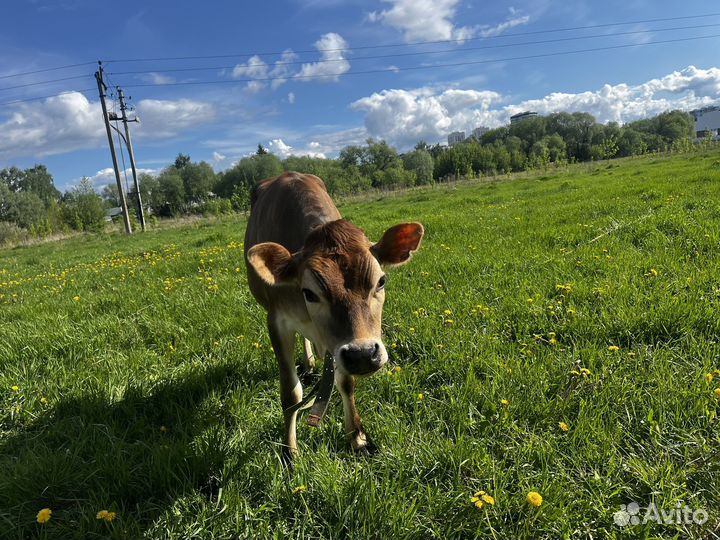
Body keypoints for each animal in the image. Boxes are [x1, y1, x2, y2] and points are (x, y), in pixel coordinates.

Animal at [244, 172, 423, 462]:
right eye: (309, 293)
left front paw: (357, 438)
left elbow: (346, 381)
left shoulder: (338, 344)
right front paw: (290, 452)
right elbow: (290, 392)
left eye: (381, 281)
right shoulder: (277, 321)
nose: (363, 354)